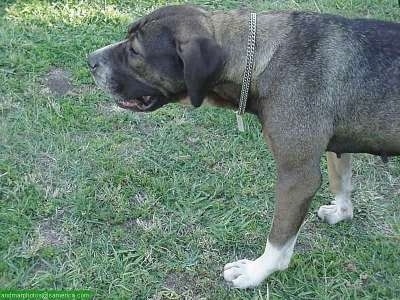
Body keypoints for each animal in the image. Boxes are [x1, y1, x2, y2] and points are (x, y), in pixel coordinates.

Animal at [88, 5, 400, 288]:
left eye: (135, 52)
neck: (262, 57)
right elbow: (341, 181)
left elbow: (278, 240)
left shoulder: (297, 178)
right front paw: (342, 212)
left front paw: (255, 273)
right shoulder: (336, 147)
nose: (90, 60)